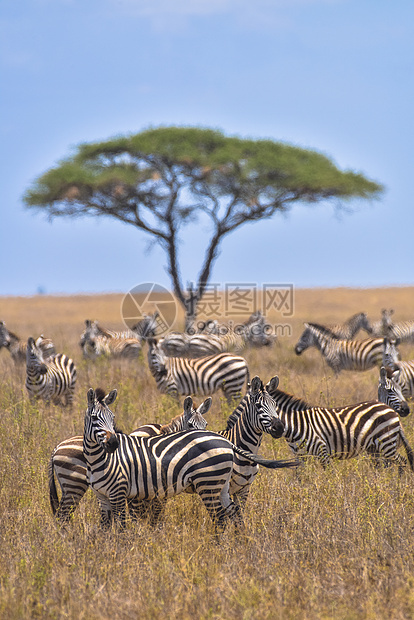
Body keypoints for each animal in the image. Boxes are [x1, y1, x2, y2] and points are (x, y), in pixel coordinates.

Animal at [266, 376, 414, 472]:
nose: (277, 430)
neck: (296, 423)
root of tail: (390, 409)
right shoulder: (301, 457)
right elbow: (301, 478)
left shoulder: (322, 450)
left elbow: (329, 475)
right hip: (375, 448)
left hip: (386, 443)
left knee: (402, 462)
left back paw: (395, 486)